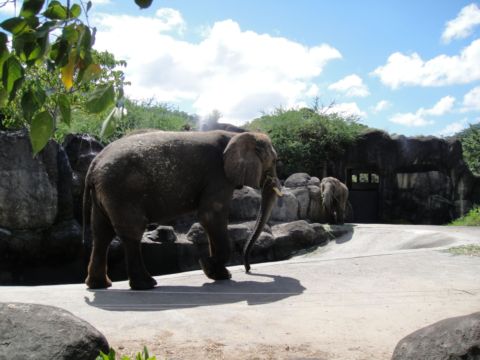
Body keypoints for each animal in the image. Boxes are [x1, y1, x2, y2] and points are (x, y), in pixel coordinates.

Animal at [84, 129, 284, 290]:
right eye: (274, 161)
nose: (248, 269)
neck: (237, 134)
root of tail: (93, 165)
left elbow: (210, 218)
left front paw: (219, 274)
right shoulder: (217, 175)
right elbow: (210, 215)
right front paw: (208, 266)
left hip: (106, 193)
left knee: (102, 232)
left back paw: (99, 285)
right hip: (122, 191)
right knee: (131, 230)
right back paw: (146, 285)